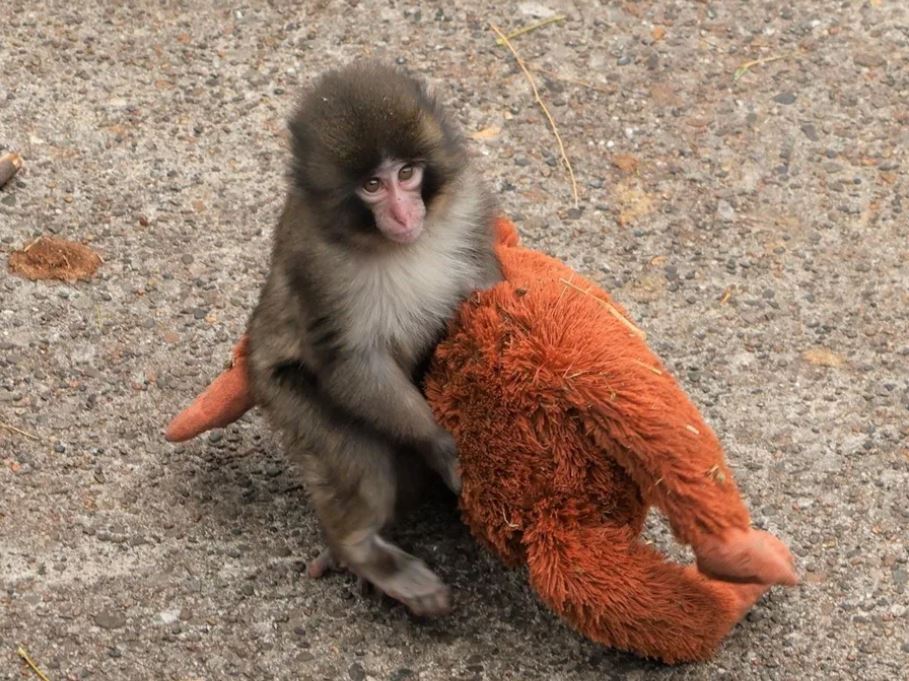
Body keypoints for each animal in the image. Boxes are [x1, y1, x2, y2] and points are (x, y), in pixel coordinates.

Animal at [246, 62, 502, 617]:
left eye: (407, 174)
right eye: (371, 185)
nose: (405, 215)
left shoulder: (468, 205)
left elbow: (486, 287)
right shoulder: (317, 264)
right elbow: (351, 362)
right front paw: (440, 444)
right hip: (281, 394)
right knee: (360, 458)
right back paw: (360, 549)